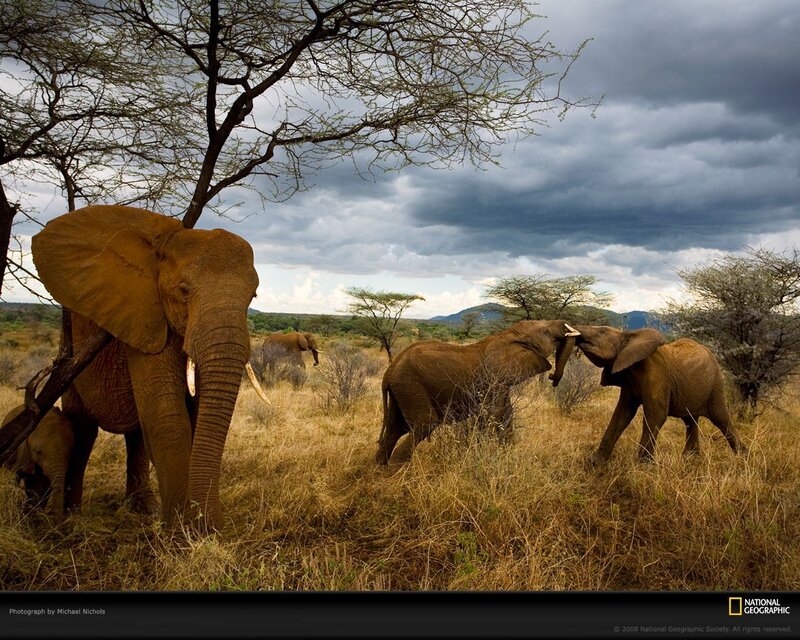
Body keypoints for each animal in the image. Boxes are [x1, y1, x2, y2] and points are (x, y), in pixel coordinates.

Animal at [31, 204, 262, 531]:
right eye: (183, 291)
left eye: (252, 296)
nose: (216, 525)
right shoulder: (146, 318)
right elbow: (169, 418)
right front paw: (181, 533)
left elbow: (193, 414)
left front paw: (192, 527)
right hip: (71, 353)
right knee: (83, 430)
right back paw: (72, 517)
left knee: (136, 434)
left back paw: (143, 511)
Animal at [376, 320, 580, 465]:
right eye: (546, 332)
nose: (553, 378)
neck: (508, 334)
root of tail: (389, 371)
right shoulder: (493, 379)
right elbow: (493, 415)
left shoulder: (500, 382)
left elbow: (507, 416)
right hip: (410, 385)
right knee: (425, 424)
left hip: (402, 389)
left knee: (395, 428)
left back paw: (380, 470)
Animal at [570, 325, 745, 464]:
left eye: (602, 331)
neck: (630, 337)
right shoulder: (629, 379)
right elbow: (622, 413)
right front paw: (595, 463)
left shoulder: (656, 374)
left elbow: (656, 415)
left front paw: (642, 468)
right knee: (691, 420)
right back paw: (690, 458)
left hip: (715, 384)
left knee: (720, 418)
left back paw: (743, 458)